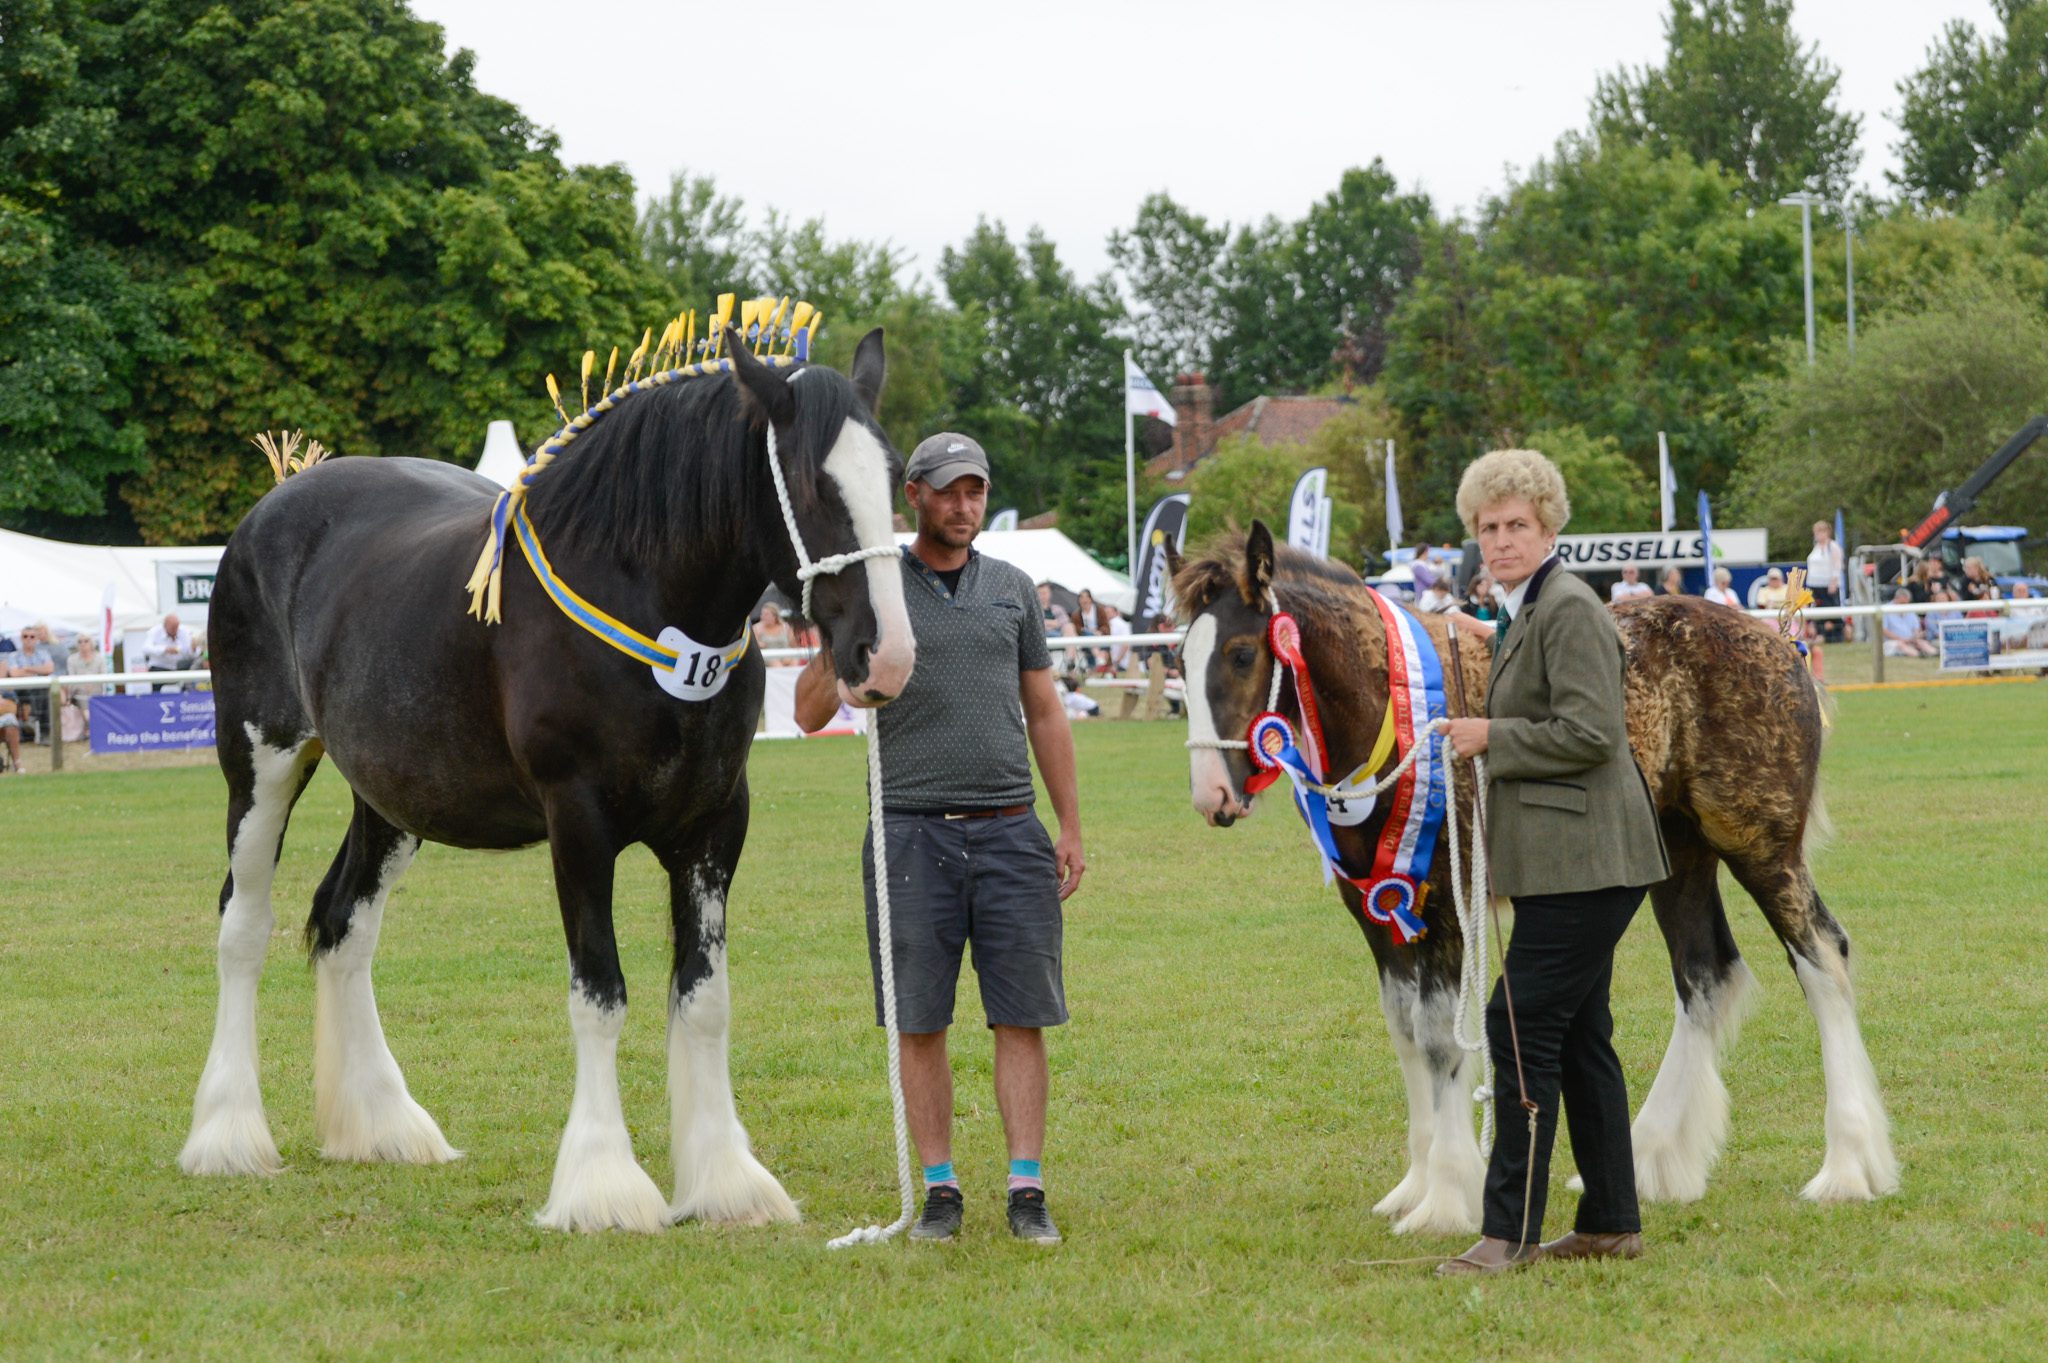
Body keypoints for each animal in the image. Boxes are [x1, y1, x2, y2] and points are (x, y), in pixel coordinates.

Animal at [180, 329, 917, 1227]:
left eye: (895, 476)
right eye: (814, 483)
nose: (887, 656)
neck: (644, 604)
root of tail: (279, 498)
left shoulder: (715, 826)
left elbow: (703, 1000)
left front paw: (724, 1179)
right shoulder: (580, 824)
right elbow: (599, 992)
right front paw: (603, 1185)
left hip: (392, 799)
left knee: (343, 923)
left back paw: (383, 1124)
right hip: (262, 762)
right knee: (243, 926)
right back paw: (228, 1135)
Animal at [1179, 519, 1892, 1227]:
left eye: (1241, 653)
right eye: (1181, 660)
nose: (1213, 797)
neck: (1388, 706)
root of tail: (1781, 643)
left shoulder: (1444, 907)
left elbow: (1439, 1040)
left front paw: (1446, 1198)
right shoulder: (1380, 909)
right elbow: (1405, 1031)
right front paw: (1414, 1184)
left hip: (1760, 847)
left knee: (1821, 958)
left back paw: (1847, 1166)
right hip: (1680, 856)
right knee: (1705, 976)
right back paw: (1652, 1159)